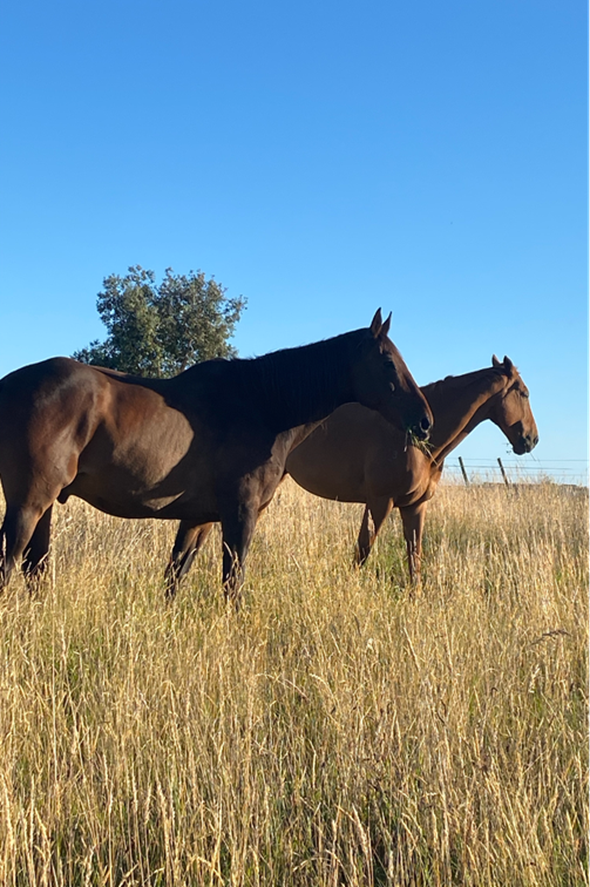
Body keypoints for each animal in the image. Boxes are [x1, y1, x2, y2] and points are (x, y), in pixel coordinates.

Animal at [0, 309, 433, 602]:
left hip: (45, 506)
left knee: (33, 568)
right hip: (29, 503)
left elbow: (174, 579)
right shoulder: (241, 514)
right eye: (388, 362)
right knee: (9, 564)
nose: (425, 421)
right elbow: (232, 584)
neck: (263, 404)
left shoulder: (199, 519)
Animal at [285, 355, 538, 584]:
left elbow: (414, 558)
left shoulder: (415, 505)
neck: (415, 438)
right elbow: (363, 550)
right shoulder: (379, 501)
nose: (532, 439)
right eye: (524, 393)